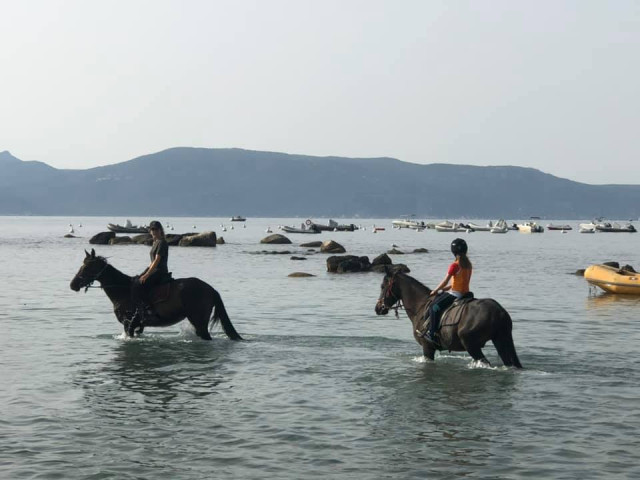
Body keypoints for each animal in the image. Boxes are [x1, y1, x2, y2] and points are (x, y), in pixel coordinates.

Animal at [70, 249, 243, 341]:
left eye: (87, 267)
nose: (73, 285)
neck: (122, 290)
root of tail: (210, 289)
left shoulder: (128, 323)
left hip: (199, 322)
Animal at [374, 268, 522, 368]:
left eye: (382, 286)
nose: (378, 308)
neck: (420, 305)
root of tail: (499, 311)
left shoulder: (427, 348)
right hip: (501, 340)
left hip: (471, 344)